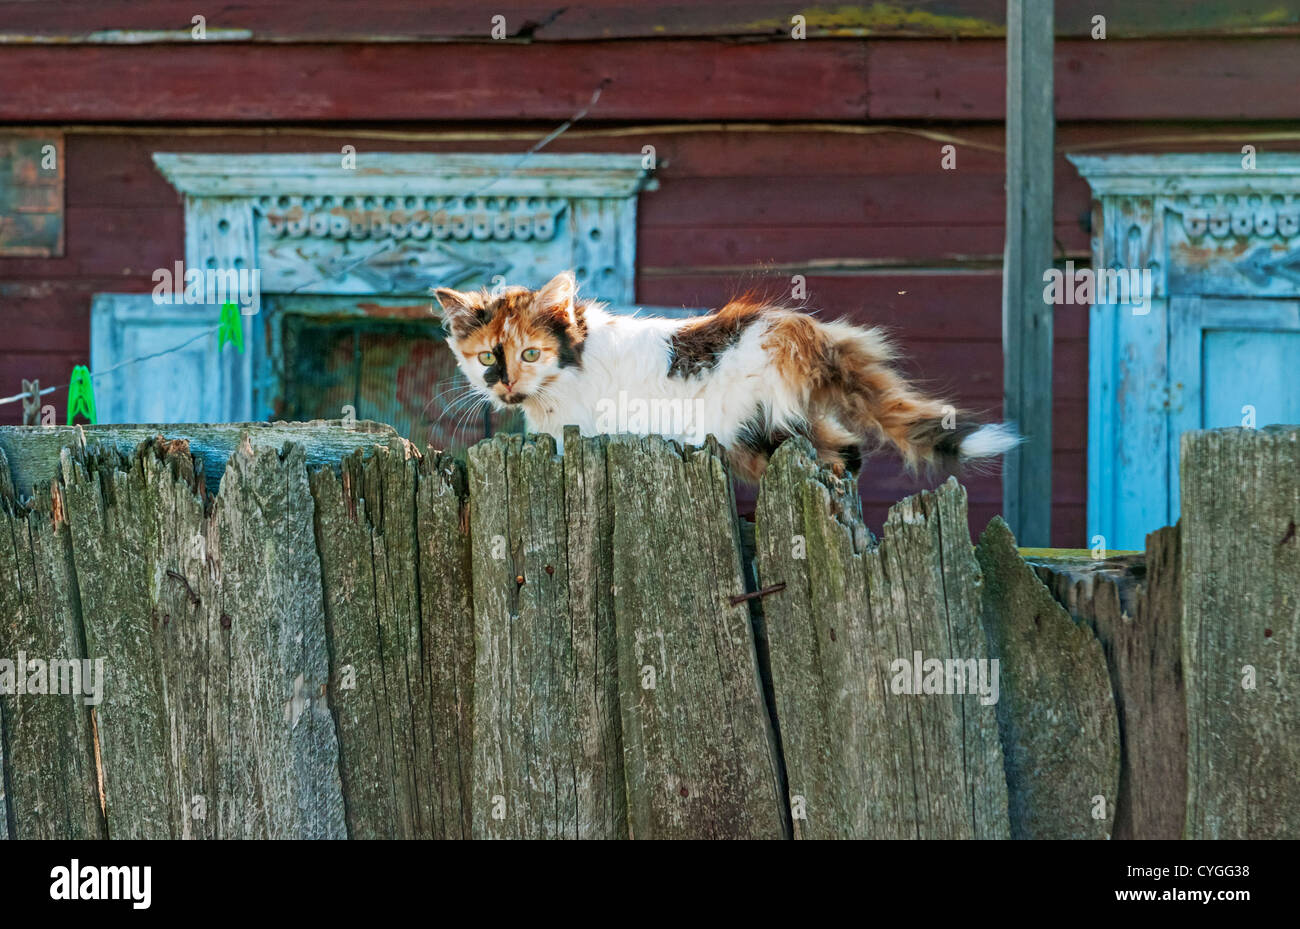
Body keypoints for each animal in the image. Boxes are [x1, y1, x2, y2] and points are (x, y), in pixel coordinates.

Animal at [431, 268, 1019, 483]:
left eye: (530, 354)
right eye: (487, 359)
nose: (504, 384)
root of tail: (805, 330)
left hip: (757, 421)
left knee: (839, 454)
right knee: (846, 452)